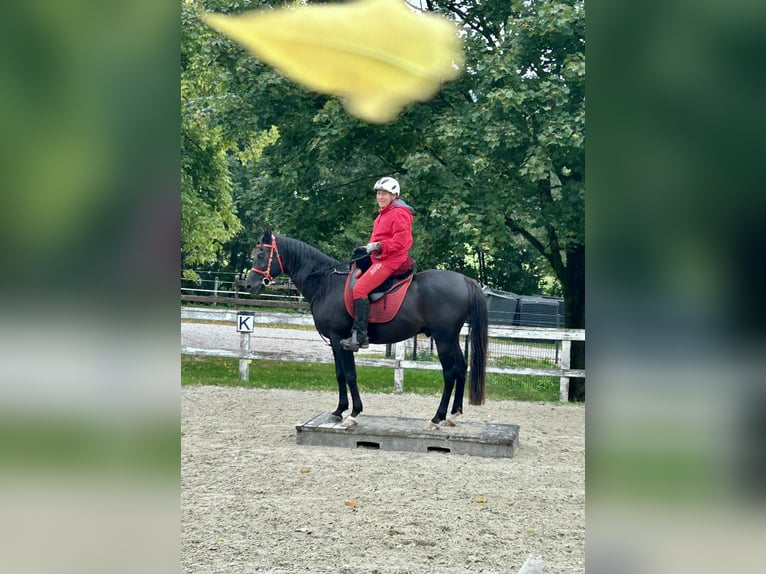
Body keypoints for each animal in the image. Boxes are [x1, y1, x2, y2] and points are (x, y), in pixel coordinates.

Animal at [245, 227, 488, 429]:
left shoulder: (339, 339)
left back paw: (437, 418)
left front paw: (354, 413)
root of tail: (465, 280)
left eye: (261, 254)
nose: (249, 284)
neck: (327, 284)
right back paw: (453, 415)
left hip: (443, 339)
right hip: (451, 338)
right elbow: (340, 374)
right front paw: (339, 410)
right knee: (461, 368)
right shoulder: (335, 343)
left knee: (449, 373)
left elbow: (350, 374)